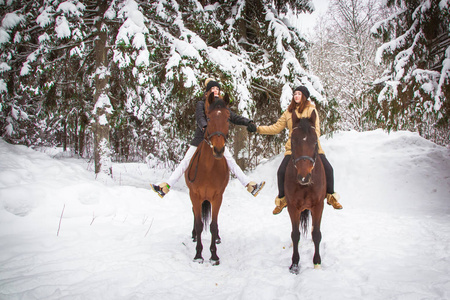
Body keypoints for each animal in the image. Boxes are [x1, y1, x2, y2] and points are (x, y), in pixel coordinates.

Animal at [185, 92, 230, 264]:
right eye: (209, 119)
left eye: (228, 118)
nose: (218, 150)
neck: (208, 167)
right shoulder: (195, 195)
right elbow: (199, 224)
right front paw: (198, 254)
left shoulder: (217, 197)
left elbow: (213, 225)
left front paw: (214, 255)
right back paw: (193, 235)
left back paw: (217, 237)